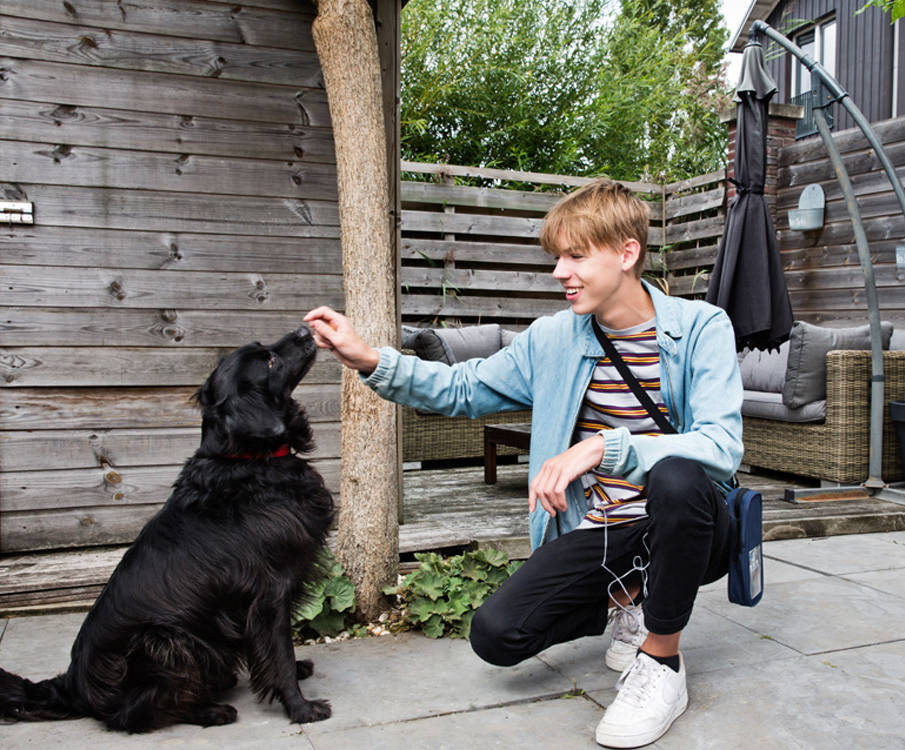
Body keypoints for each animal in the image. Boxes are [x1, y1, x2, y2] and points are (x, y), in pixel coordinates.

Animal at [0, 328, 336, 736]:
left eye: (265, 348)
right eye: (269, 361)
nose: (305, 330)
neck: (250, 461)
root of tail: (74, 686)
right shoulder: (271, 590)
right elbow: (279, 650)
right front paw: (300, 707)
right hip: (165, 639)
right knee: (131, 715)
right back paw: (211, 712)